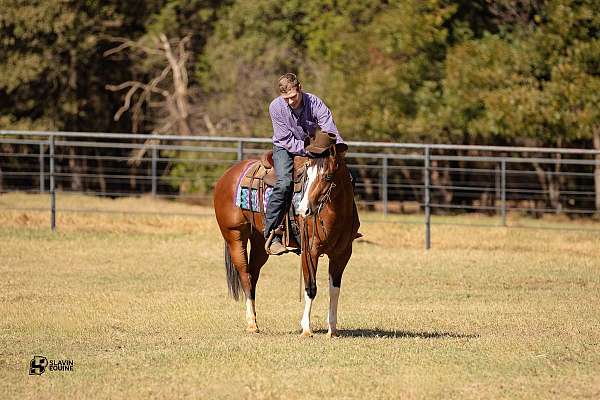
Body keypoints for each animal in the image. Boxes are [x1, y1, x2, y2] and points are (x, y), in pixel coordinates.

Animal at [213, 144, 358, 338]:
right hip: (234, 236)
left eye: (328, 176)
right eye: (307, 177)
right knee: (244, 275)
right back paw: (251, 323)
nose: (304, 210)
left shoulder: (342, 254)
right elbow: (311, 288)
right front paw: (306, 328)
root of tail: (227, 175)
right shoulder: (309, 251)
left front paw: (332, 329)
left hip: (260, 243)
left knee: (252, 276)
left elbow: (334, 290)